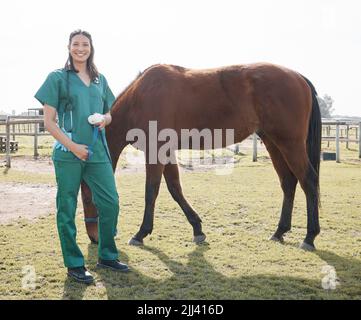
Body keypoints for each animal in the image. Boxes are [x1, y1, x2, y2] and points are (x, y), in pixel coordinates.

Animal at [81, 62, 320, 251]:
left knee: (308, 180)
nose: (93, 237)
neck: (140, 98)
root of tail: (297, 76)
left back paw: (309, 237)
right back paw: (279, 231)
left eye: (87, 197)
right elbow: (175, 188)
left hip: (290, 143)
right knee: (288, 182)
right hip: (273, 142)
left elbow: (152, 191)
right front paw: (197, 228)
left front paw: (140, 234)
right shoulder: (166, 152)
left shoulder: (156, 151)